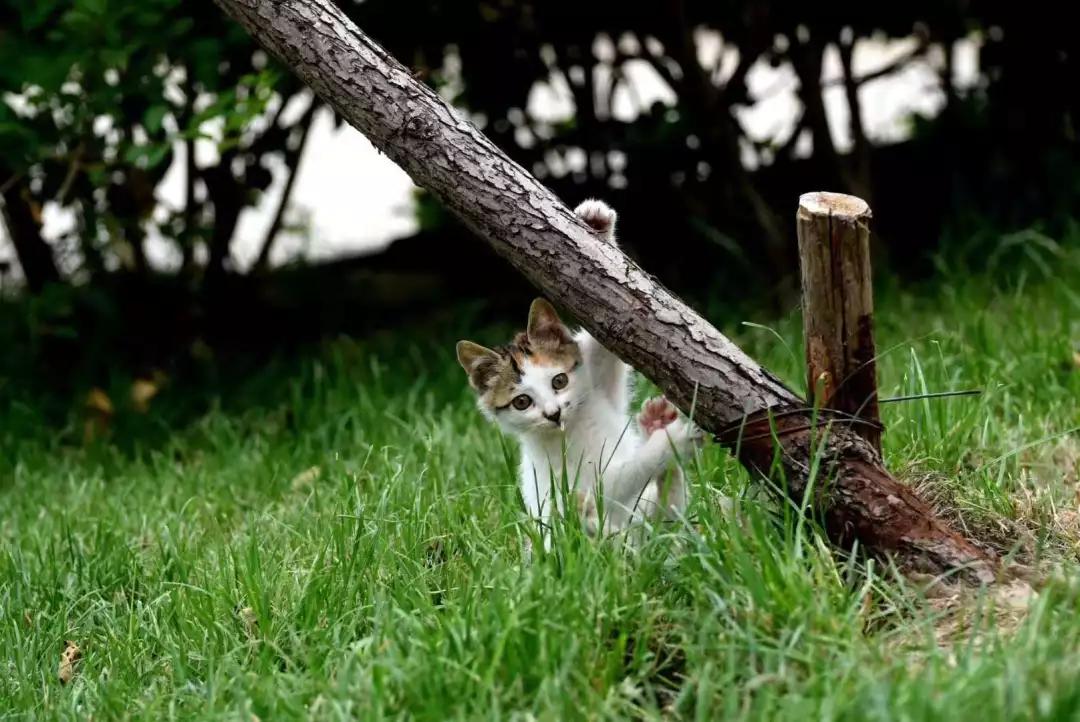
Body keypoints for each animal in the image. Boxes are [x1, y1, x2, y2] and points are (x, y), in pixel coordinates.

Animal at [455, 197, 699, 546]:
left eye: (559, 381)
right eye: (521, 402)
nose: (553, 413)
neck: (571, 427)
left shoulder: (600, 388)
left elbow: (604, 336)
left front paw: (595, 223)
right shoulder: (570, 483)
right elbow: (616, 480)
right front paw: (668, 444)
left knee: (666, 518)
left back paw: (657, 432)